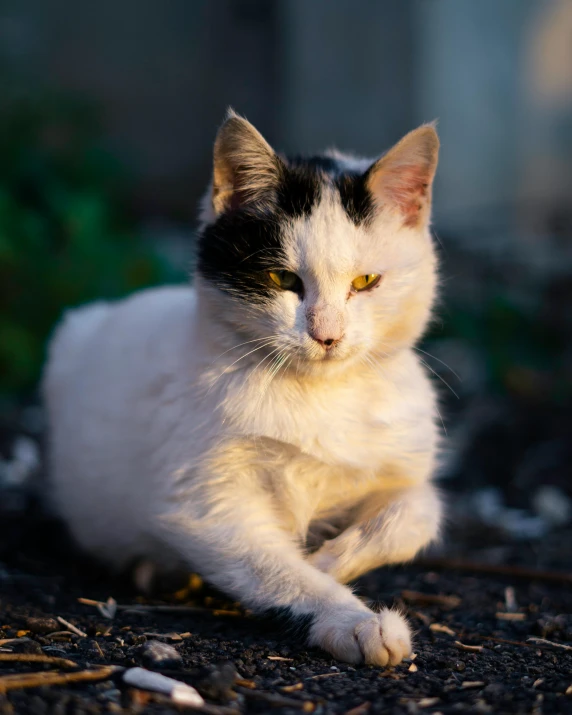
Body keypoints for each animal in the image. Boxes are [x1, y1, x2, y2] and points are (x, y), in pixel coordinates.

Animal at [43, 110, 442, 664]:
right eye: (282, 279)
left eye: (365, 282)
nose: (327, 335)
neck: (319, 395)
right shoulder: (205, 504)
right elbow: (275, 569)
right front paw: (352, 617)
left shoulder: (405, 462)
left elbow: (419, 512)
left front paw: (329, 559)